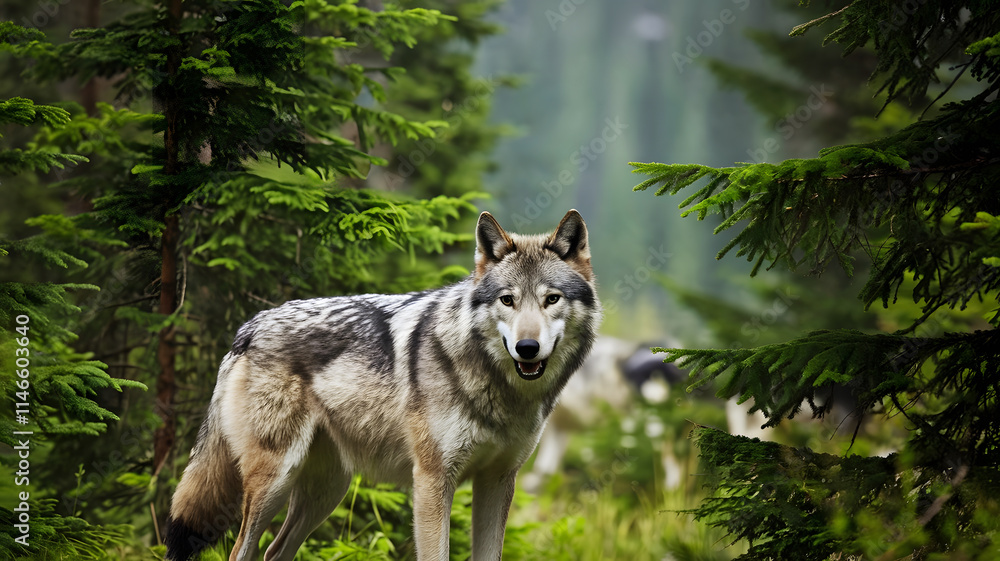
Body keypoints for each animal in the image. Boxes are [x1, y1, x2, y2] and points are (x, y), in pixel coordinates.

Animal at [165, 209, 601, 561]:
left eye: (551, 299)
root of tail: (249, 326)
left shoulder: (496, 481)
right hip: (275, 480)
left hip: (326, 491)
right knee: (241, 551)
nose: (527, 348)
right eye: (508, 300)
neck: (499, 390)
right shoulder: (431, 481)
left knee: (273, 552)